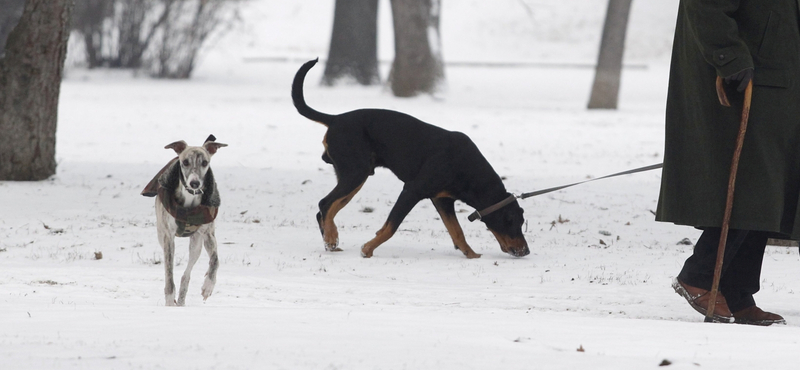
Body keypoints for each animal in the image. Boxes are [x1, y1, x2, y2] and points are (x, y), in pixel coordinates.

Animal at [290, 59, 528, 258]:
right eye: (515, 222)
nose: (525, 251)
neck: (466, 168)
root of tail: (335, 119)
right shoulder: (412, 190)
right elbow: (391, 226)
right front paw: (367, 249)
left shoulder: (442, 200)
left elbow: (457, 231)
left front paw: (472, 255)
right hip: (356, 173)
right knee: (325, 204)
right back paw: (331, 238)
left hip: (353, 177)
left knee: (326, 209)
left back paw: (330, 242)